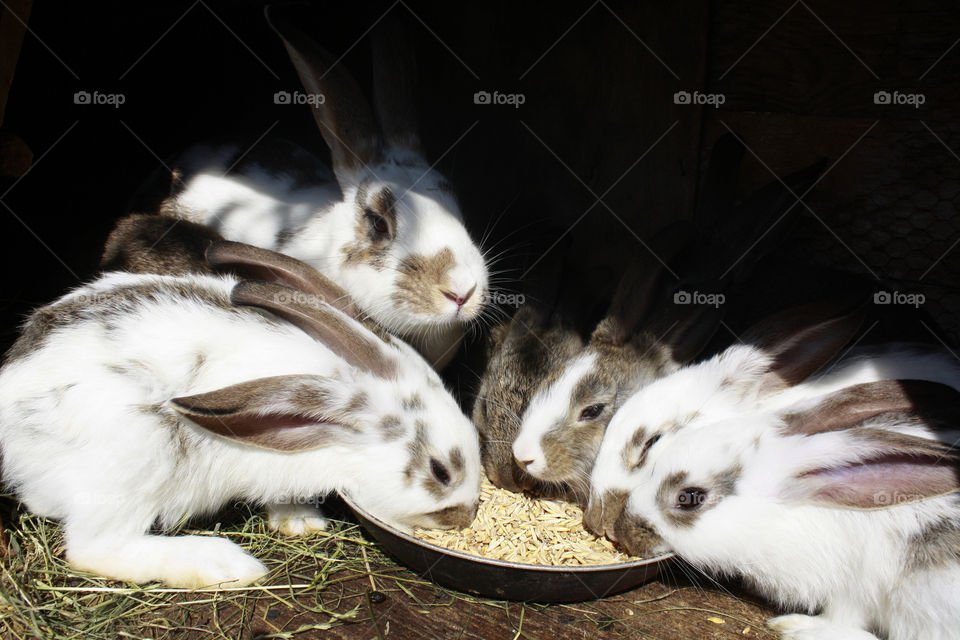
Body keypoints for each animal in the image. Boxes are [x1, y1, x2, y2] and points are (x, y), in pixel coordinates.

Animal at [0, 243, 481, 588]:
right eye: (440, 471)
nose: (467, 517)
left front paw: (301, 522)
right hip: (133, 459)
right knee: (93, 549)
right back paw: (223, 565)